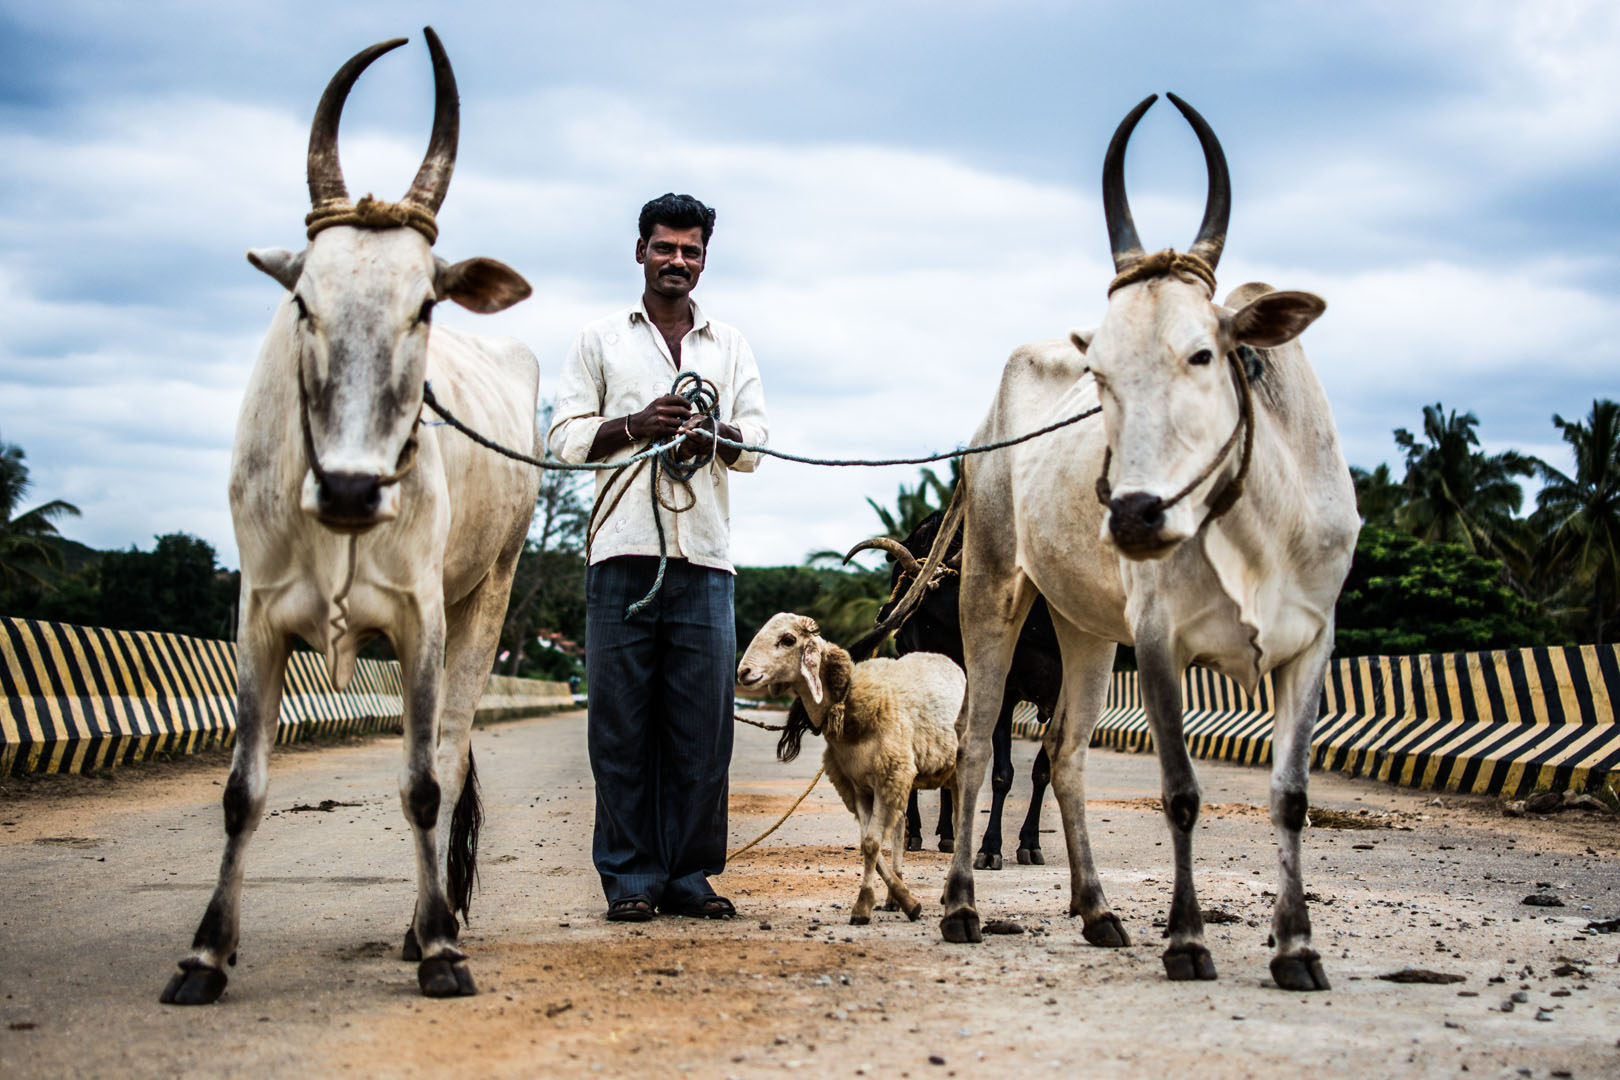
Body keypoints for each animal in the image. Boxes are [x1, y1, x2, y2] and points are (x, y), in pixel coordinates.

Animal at [735, 612, 959, 926]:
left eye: (788, 639)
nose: (743, 672)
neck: (848, 702)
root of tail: (944, 658)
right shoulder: (858, 786)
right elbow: (868, 843)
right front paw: (903, 899)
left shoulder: (885, 778)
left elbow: (872, 843)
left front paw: (865, 905)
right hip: (903, 777)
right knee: (900, 826)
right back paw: (894, 897)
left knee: (961, 825)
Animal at [848, 508, 1062, 867]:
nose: (889, 617)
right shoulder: (1003, 694)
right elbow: (1002, 774)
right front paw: (990, 848)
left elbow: (1042, 771)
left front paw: (1030, 843)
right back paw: (915, 832)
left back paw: (947, 834)